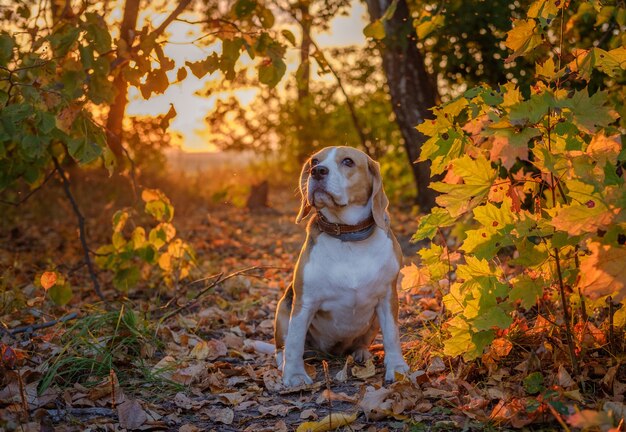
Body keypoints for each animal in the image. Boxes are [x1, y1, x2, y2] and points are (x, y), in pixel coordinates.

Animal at [274, 146, 410, 388]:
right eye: (314, 161)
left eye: (348, 161)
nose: (317, 171)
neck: (347, 236)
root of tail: (330, 353)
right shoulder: (304, 303)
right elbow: (294, 343)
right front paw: (295, 375)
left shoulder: (388, 297)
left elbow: (392, 336)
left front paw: (396, 367)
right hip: (283, 308)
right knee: (282, 347)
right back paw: (283, 363)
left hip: (374, 321)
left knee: (361, 343)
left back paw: (361, 353)